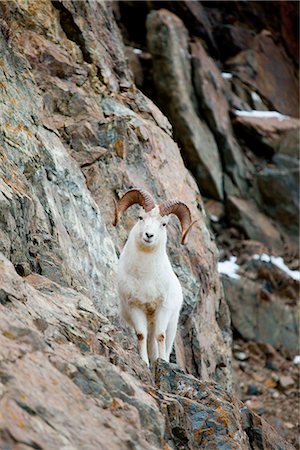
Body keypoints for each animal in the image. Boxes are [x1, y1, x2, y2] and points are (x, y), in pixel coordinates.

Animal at [113, 188, 197, 364]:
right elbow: (141, 335)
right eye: (141, 217)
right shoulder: (136, 307)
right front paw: (145, 363)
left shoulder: (162, 308)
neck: (145, 277)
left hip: (172, 325)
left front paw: (162, 361)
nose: (149, 235)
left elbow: (160, 336)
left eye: (163, 224)